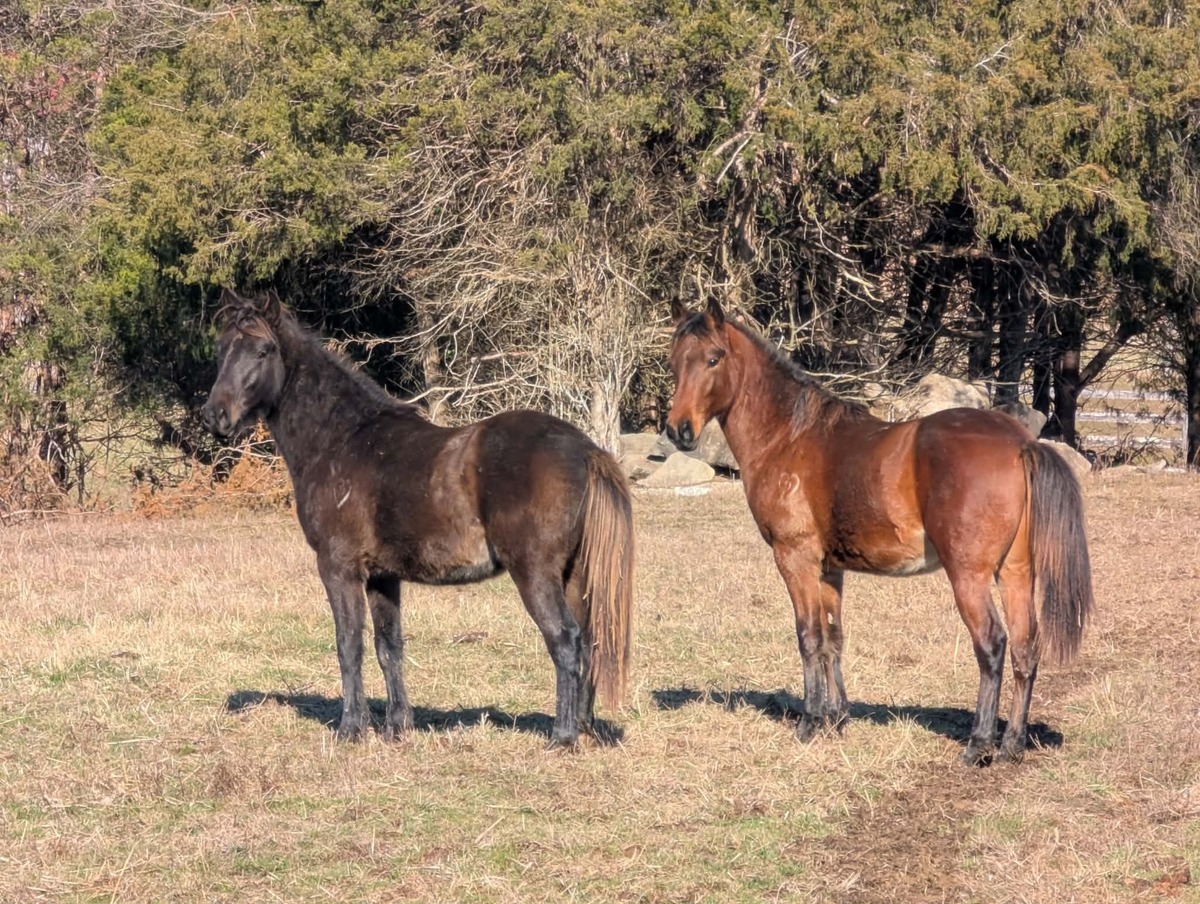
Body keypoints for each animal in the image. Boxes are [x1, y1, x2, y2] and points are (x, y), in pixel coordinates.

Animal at [201, 288, 634, 748]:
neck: (341, 439)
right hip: (574, 575)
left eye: (263, 350)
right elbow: (388, 646)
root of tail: (586, 450)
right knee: (589, 642)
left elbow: (348, 645)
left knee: (565, 641)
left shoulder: (338, 568)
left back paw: (563, 736)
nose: (215, 416)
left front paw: (351, 729)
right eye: (222, 350)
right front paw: (397, 726)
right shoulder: (382, 576)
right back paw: (584, 728)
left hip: (535, 573)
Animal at [664, 298, 1093, 765]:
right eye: (674, 360)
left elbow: (808, 637)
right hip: (1015, 573)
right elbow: (833, 638)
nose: (678, 429)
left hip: (969, 576)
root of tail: (1021, 442)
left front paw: (810, 722)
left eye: (713, 358)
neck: (790, 437)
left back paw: (979, 743)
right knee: (1025, 646)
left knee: (992, 644)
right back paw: (1011, 745)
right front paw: (836, 719)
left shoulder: (795, 559)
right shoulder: (829, 569)